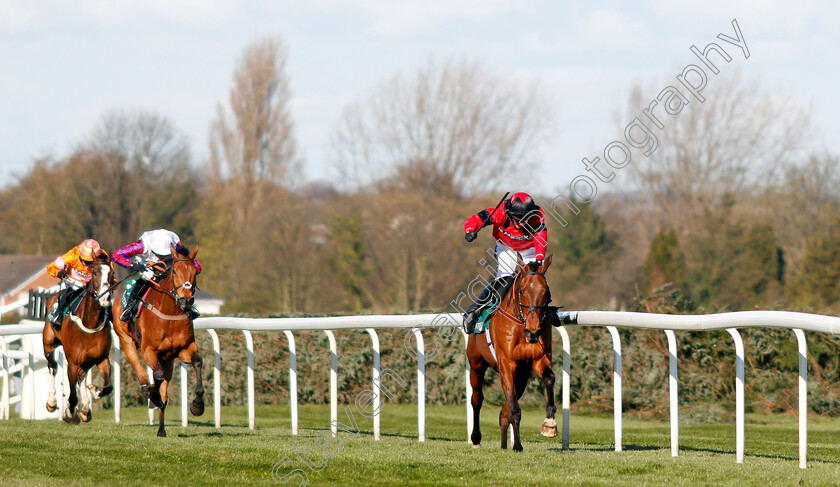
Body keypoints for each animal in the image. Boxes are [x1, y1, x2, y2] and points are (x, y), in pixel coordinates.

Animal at [43, 252, 116, 424]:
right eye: (95, 272)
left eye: (112, 273)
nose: (105, 299)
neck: (90, 323)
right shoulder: (72, 362)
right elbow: (72, 395)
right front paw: (69, 413)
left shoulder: (101, 358)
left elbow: (108, 386)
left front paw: (94, 391)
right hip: (48, 345)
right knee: (53, 366)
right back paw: (52, 402)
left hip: (86, 359)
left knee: (82, 376)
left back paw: (85, 409)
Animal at [112, 244, 204, 438]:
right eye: (175, 271)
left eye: (194, 272)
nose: (186, 300)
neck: (170, 314)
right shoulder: (148, 350)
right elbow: (157, 376)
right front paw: (153, 396)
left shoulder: (185, 349)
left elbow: (198, 362)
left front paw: (197, 406)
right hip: (126, 340)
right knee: (141, 369)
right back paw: (150, 392)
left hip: (167, 359)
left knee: (164, 391)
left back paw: (161, 429)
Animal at [466, 258, 556, 452]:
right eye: (521, 290)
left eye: (545, 291)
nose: (533, 331)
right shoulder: (506, 363)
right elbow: (514, 408)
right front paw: (518, 445)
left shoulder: (539, 360)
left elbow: (549, 379)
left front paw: (550, 423)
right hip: (476, 364)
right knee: (477, 399)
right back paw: (476, 439)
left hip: (521, 376)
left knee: (505, 408)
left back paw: (504, 443)